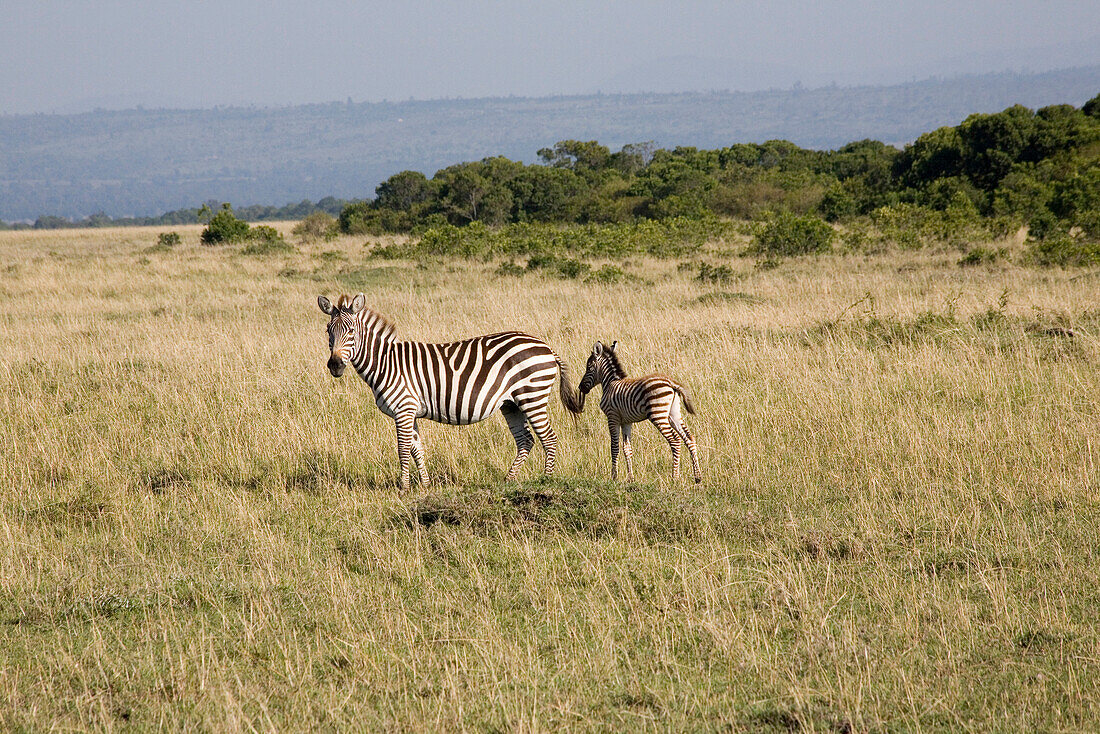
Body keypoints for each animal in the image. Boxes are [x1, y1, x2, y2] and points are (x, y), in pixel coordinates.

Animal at [316, 292, 585, 488]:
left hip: (532, 395)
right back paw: (508, 480)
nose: (335, 366)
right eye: (328, 331)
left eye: (351, 331)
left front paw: (403, 487)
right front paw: (424, 485)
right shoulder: (410, 411)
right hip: (511, 403)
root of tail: (546, 346)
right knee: (526, 440)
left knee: (548, 438)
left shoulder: (404, 409)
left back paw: (547, 480)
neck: (386, 363)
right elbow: (417, 448)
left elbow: (403, 448)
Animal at [576, 343, 704, 484]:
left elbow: (614, 447)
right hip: (674, 414)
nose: (580, 387)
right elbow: (627, 448)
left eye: (589, 367)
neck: (610, 384)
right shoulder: (626, 421)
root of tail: (671, 383)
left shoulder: (612, 417)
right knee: (689, 438)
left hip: (658, 415)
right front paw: (630, 478)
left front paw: (614, 477)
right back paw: (697, 477)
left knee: (675, 441)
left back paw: (674, 477)